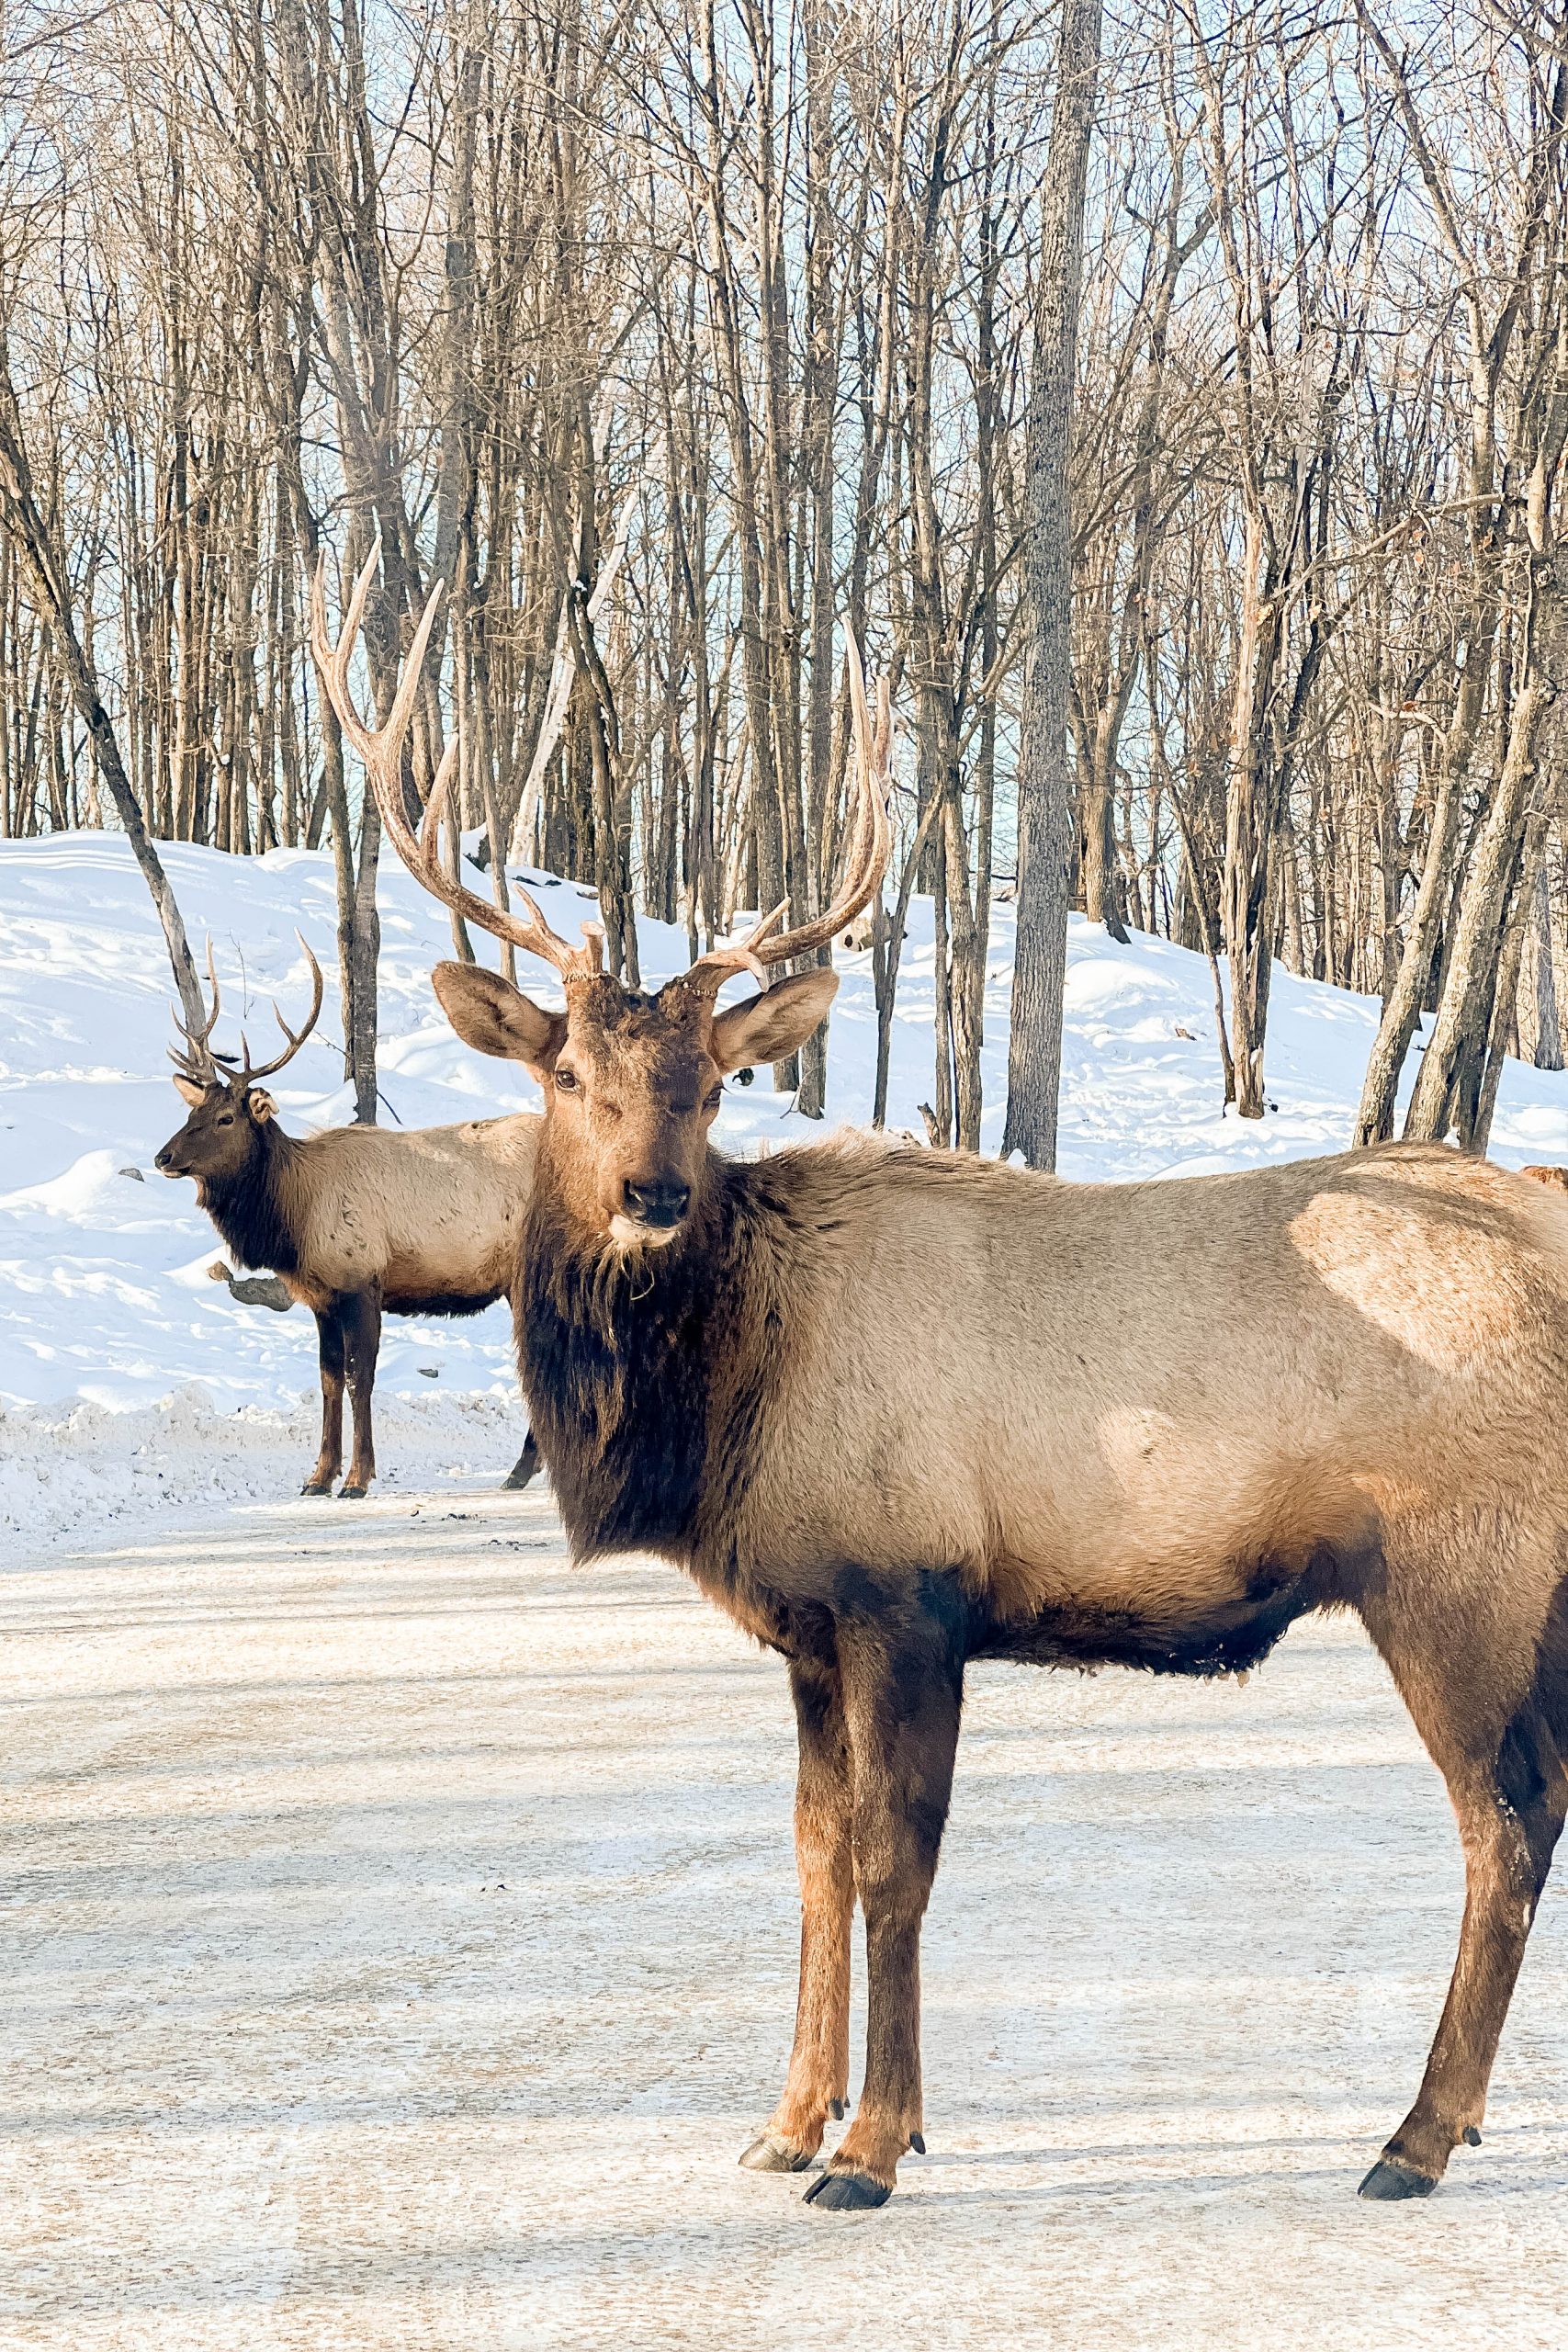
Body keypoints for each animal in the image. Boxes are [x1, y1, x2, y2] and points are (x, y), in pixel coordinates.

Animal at [154, 945, 540, 1496]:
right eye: (191, 1113)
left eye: (226, 1118)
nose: (163, 1157)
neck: (292, 1219)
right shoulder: (321, 1296)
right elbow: (328, 1379)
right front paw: (318, 1475)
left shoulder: (363, 1281)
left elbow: (362, 1378)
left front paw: (358, 1476)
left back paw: (523, 1468)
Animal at [320, 550, 1568, 2220]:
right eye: (566, 1074)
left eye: (710, 1080)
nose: (652, 1194)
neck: (722, 1411)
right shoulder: (802, 1622)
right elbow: (806, 1852)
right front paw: (785, 2119)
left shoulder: (903, 1592)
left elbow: (889, 1865)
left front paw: (870, 2148)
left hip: (1455, 1572)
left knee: (1503, 1822)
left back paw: (1412, 2136)